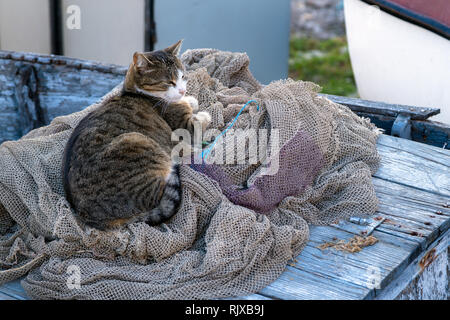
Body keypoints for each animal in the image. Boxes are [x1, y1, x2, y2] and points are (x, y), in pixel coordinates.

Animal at [62, 40, 212, 230]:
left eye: (183, 77)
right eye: (169, 82)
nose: (182, 91)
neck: (136, 92)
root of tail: (88, 216)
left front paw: (190, 100)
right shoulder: (184, 127)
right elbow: (198, 121)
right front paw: (202, 113)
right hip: (137, 140)